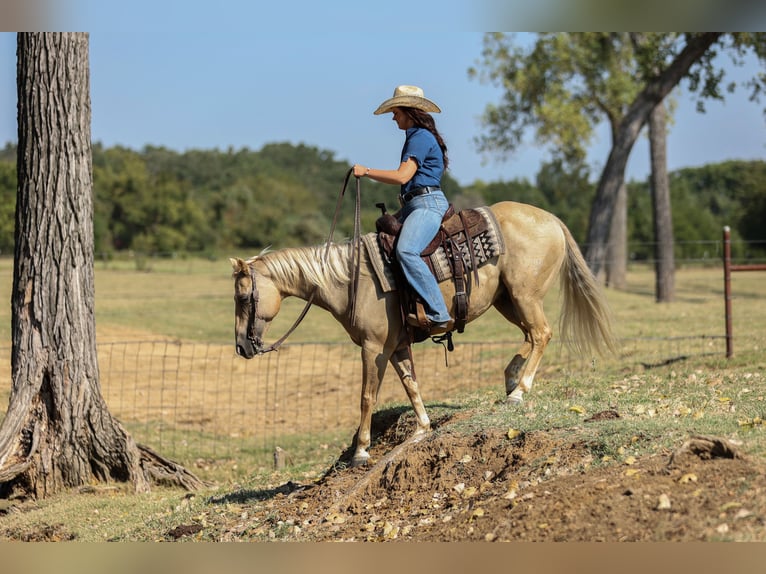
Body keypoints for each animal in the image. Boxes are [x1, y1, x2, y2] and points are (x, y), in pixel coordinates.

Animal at [230, 201, 617, 467]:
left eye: (242, 297)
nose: (242, 347)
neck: (352, 280)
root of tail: (551, 219)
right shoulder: (397, 346)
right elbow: (411, 384)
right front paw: (422, 428)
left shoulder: (373, 348)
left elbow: (367, 397)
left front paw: (361, 451)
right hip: (507, 300)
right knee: (531, 334)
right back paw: (511, 378)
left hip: (524, 296)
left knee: (541, 333)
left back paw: (519, 391)